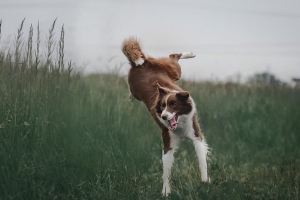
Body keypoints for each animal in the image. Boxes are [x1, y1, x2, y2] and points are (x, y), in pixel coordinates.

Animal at [120, 36, 210, 196]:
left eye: (173, 105)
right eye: (162, 106)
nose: (163, 116)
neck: (180, 125)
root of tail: (140, 63)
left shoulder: (196, 135)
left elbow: (202, 159)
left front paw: (205, 180)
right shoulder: (168, 142)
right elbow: (166, 171)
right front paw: (166, 191)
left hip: (174, 71)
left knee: (173, 57)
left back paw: (190, 54)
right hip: (141, 85)